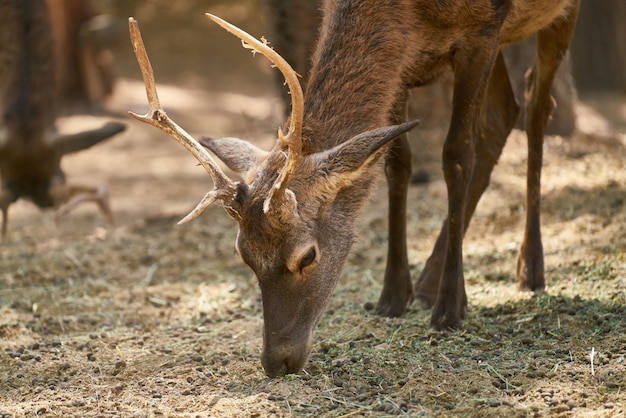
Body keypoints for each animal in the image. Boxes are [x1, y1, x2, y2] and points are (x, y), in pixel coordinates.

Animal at [128, 0, 580, 378]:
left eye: (307, 256)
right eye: (245, 256)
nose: (277, 362)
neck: (412, 12)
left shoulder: (483, 31)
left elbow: (455, 155)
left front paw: (451, 308)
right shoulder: (404, 62)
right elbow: (395, 162)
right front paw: (393, 296)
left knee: (537, 107)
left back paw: (529, 268)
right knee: (505, 113)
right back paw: (428, 281)